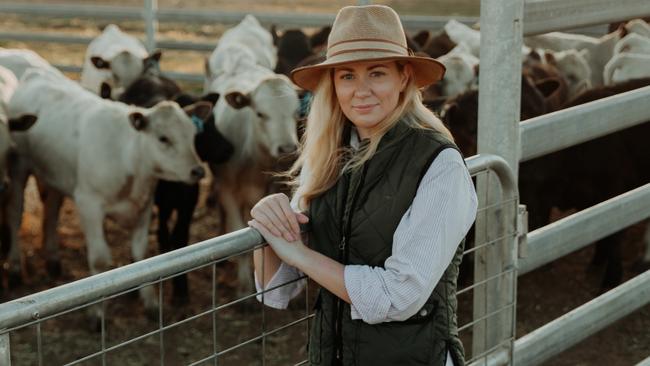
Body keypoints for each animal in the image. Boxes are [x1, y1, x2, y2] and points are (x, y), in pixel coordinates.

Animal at [5, 68, 205, 312]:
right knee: (14, 215)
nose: (197, 171)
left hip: (54, 176)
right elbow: (99, 260)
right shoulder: (88, 204)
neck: (129, 157)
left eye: (193, 134)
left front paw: (150, 302)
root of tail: (35, 73)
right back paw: (15, 269)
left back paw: (53, 261)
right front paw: (97, 311)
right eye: (163, 138)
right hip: (18, 169)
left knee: (51, 211)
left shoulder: (145, 207)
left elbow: (141, 255)